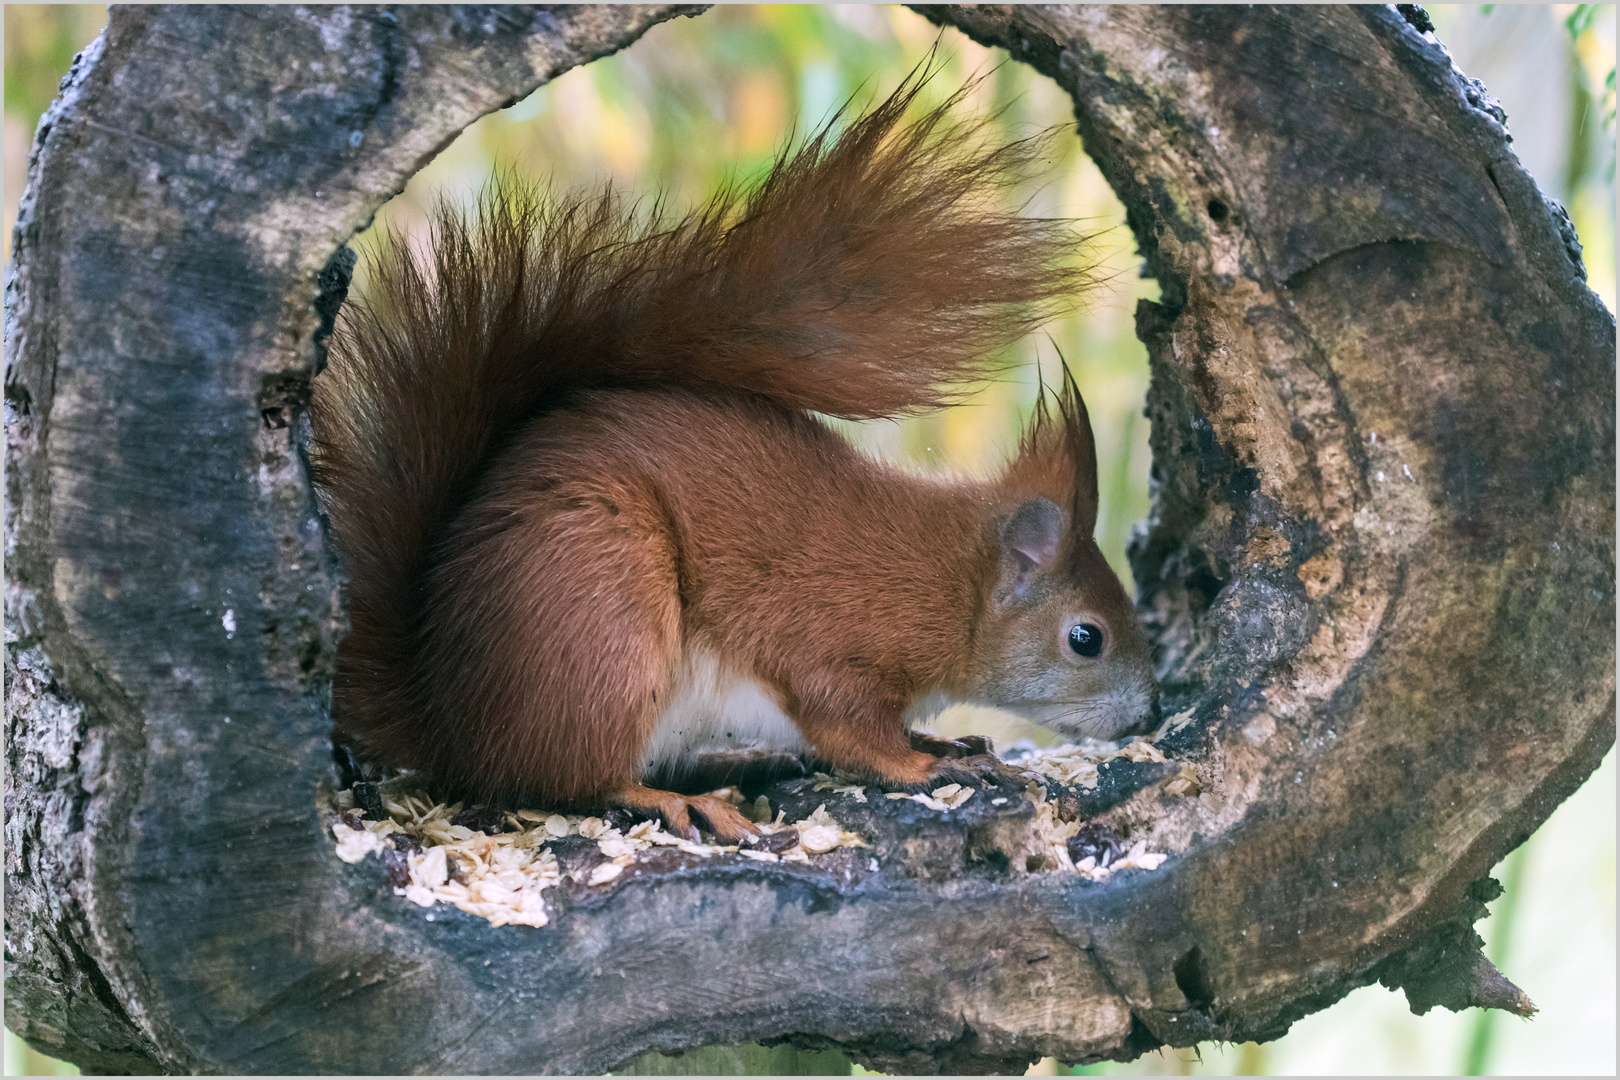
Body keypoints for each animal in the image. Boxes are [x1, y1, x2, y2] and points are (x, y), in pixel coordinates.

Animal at [309, 74, 1159, 841]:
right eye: (1087, 638)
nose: (1148, 712)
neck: (954, 586)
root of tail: (444, 715)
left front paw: (940, 740)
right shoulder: (835, 643)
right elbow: (851, 731)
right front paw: (924, 764)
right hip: (606, 625)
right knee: (570, 779)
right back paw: (680, 801)